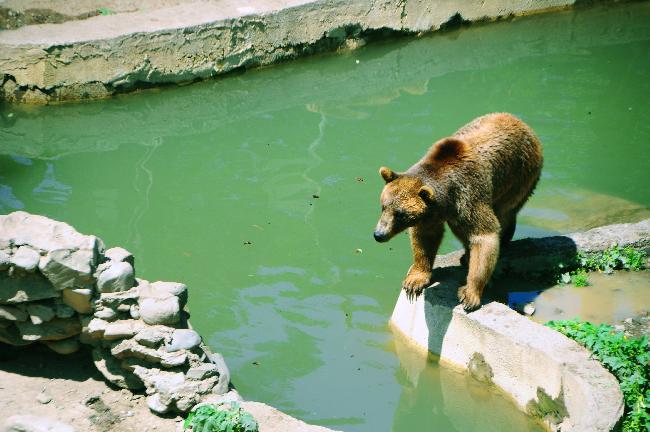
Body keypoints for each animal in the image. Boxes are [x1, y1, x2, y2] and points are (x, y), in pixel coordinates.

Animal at [370, 113, 540, 308]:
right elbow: (425, 238)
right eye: (383, 206)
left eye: (400, 214)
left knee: (504, 214)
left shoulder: (469, 196)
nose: (379, 234)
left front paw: (470, 294)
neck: (447, 198)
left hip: (519, 176)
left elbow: (485, 236)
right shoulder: (432, 213)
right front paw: (415, 280)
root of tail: (521, 122)